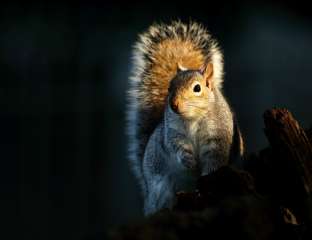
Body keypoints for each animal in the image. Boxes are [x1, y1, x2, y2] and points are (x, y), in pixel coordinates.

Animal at [126, 21, 244, 216]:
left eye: (197, 88)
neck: (193, 118)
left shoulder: (218, 136)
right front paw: (189, 161)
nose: (173, 105)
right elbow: (176, 146)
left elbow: (214, 161)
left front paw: (206, 177)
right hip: (162, 188)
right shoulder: (174, 133)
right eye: (169, 87)